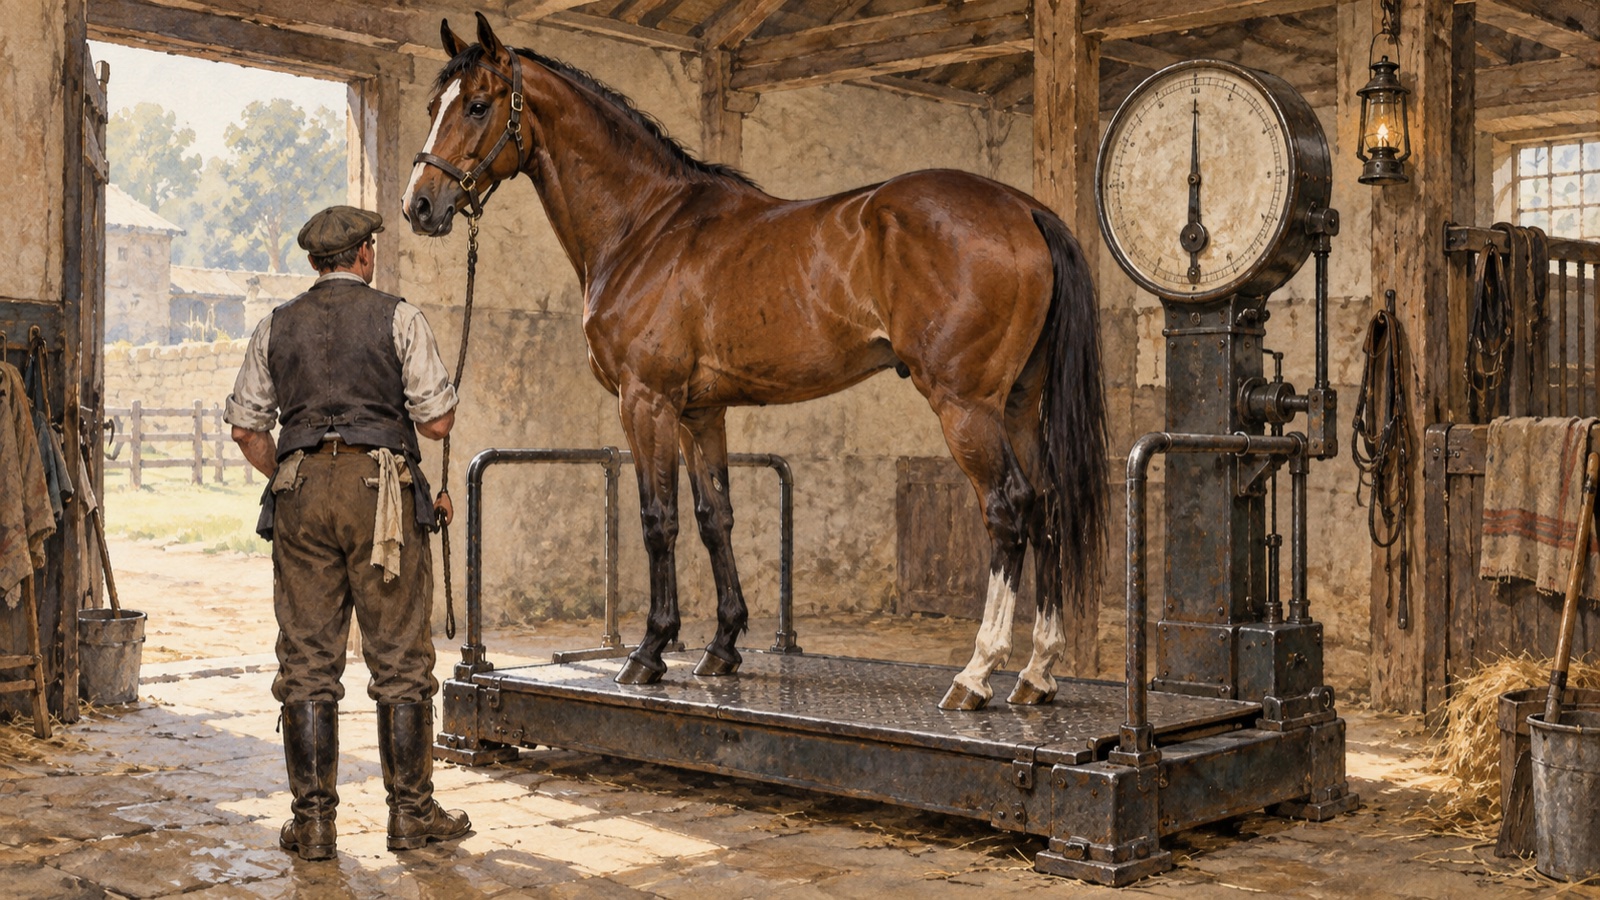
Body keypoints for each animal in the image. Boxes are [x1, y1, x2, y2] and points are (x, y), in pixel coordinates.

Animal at [403, 12, 1108, 711]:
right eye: (433, 106)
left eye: (477, 105)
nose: (420, 206)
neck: (644, 227)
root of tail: (1026, 210)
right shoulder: (701, 413)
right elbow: (716, 519)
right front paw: (722, 648)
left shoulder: (647, 400)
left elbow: (658, 520)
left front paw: (649, 652)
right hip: (1018, 405)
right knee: (1046, 505)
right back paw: (1037, 674)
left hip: (966, 407)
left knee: (1008, 509)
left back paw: (977, 674)